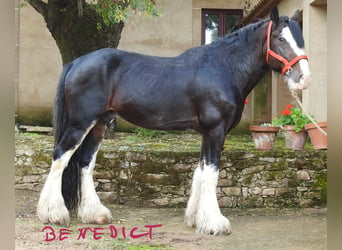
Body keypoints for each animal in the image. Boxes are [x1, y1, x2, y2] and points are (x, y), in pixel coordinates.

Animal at [36, 6, 310, 235]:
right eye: (281, 38)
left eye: (301, 39)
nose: (303, 79)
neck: (223, 67)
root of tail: (77, 62)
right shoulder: (215, 130)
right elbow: (211, 173)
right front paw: (215, 223)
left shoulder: (207, 133)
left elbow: (201, 170)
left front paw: (196, 218)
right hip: (81, 123)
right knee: (61, 156)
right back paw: (53, 214)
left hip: (99, 125)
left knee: (85, 162)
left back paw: (95, 214)